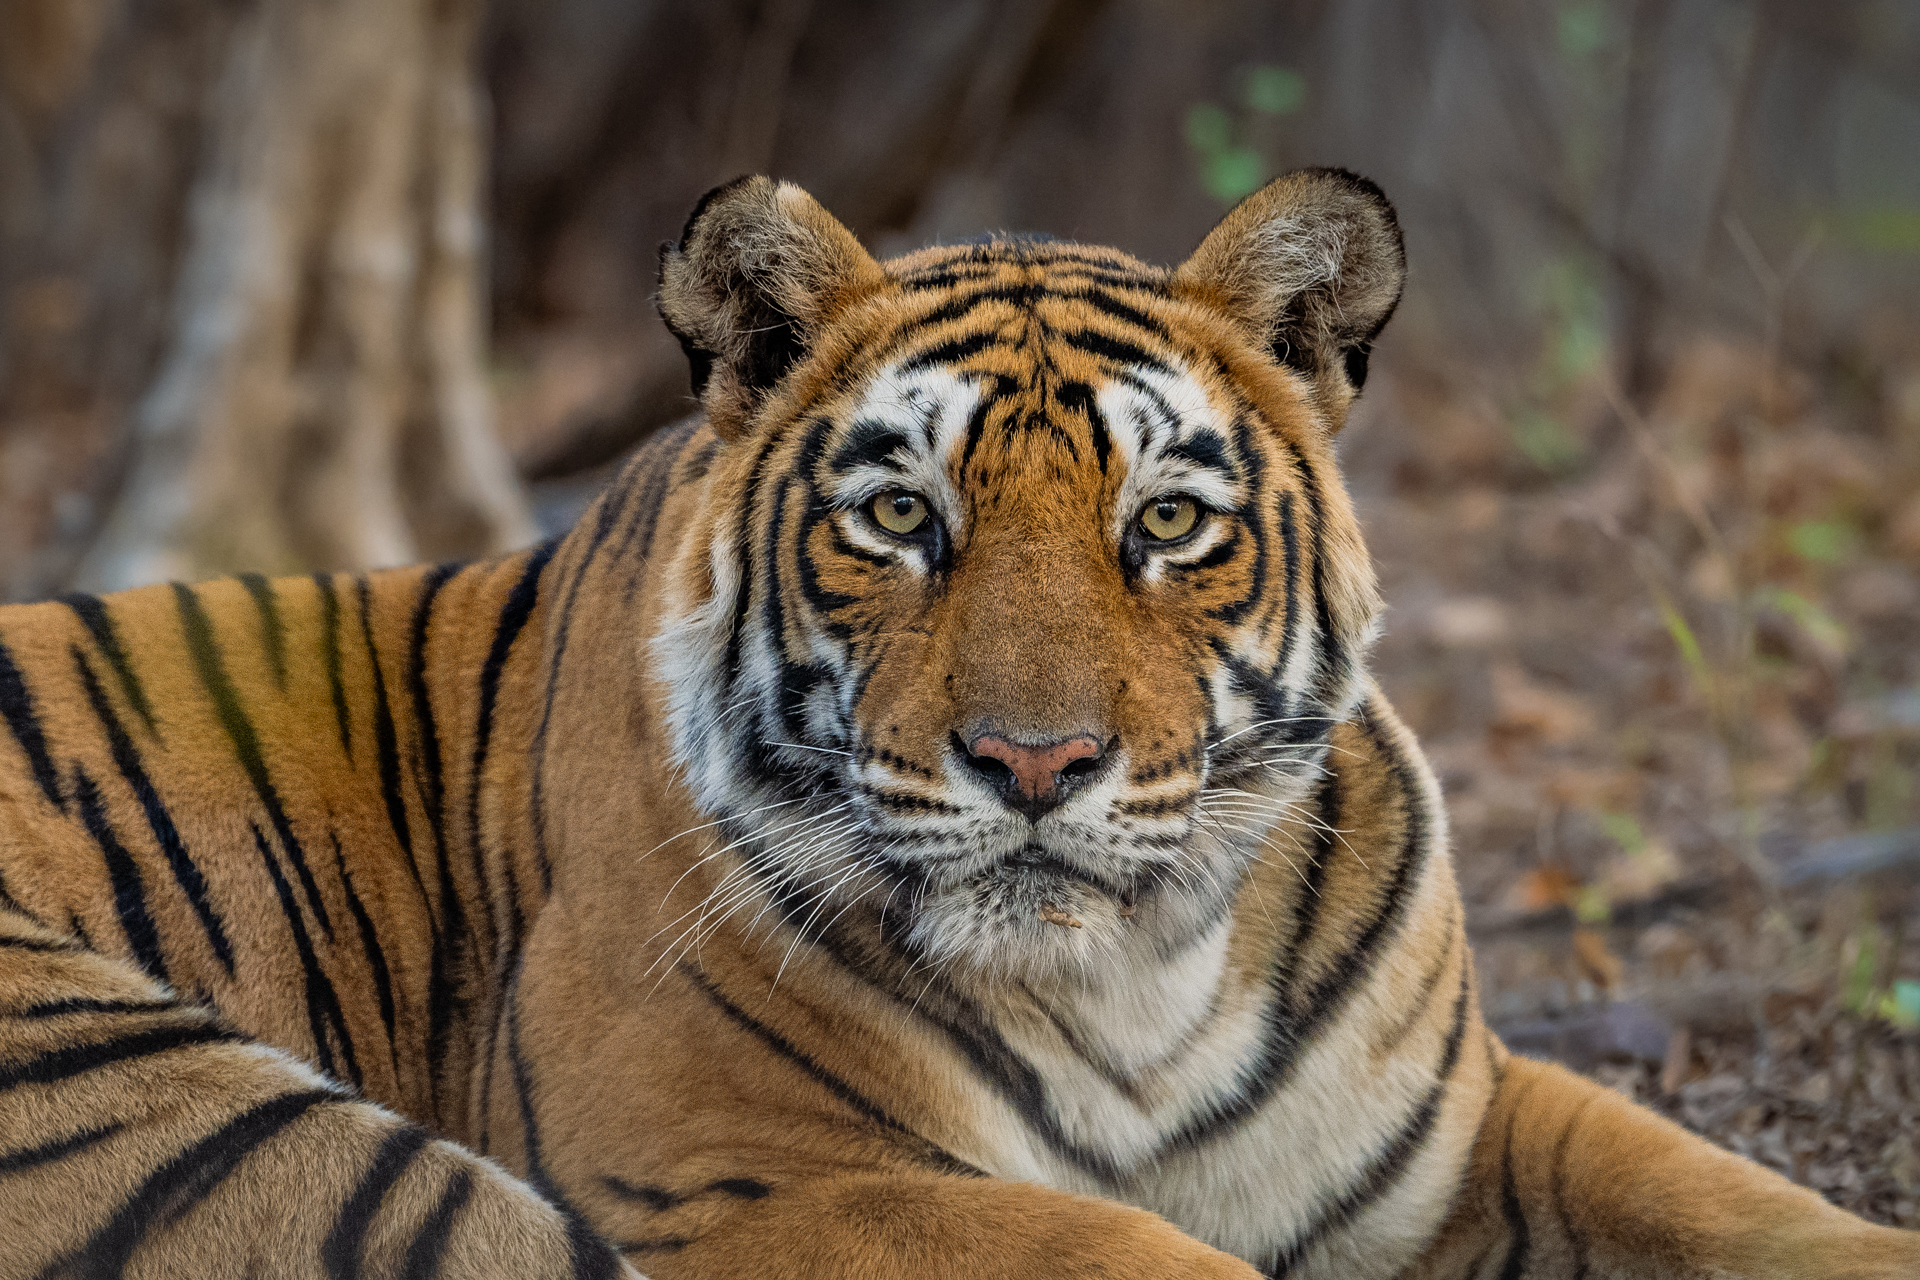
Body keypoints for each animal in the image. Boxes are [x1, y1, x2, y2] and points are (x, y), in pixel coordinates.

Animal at [1, 168, 1914, 1280]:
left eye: (1168, 520)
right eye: (901, 516)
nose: (1037, 765)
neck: (1133, 984)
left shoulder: (1458, 1139)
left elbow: (1742, 1202)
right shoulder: (748, 1180)